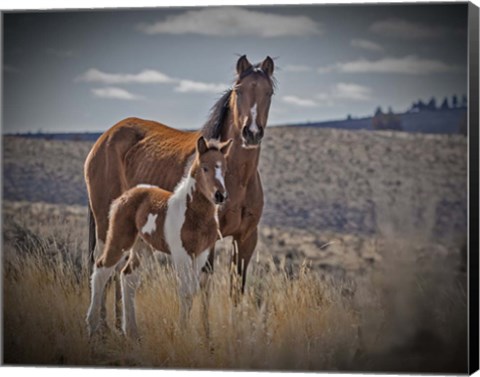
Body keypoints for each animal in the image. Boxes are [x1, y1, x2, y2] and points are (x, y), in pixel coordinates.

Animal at [86, 136, 232, 338]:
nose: (220, 196)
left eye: (224, 169)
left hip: (142, 246)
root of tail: (124, 197)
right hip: (120, 239)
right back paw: (93, 326)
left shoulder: (201, 254)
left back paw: (132, 332)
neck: (193, 214)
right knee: (101, 268)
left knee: (128, 276)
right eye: (205, 168)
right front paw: (182, 334)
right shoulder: (181, 254)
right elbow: (185, 291)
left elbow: (193, 291)